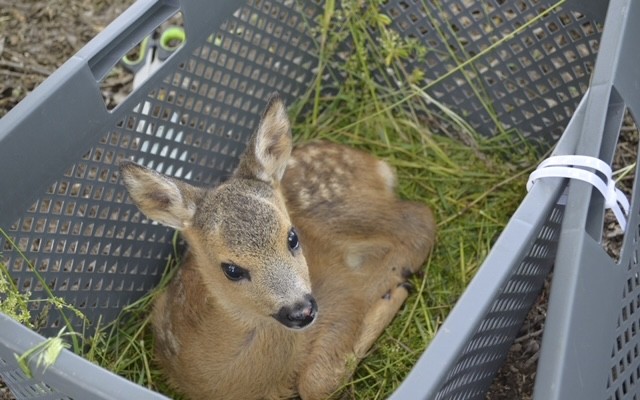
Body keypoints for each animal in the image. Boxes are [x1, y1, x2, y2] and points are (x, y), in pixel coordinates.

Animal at [120, 94, 438, 400]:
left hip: (347, 214)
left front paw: (389, 295)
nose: (301, 311)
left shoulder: (341, 295)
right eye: (231, 269)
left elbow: (315, 383)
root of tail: (376, 164)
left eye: (292, 237)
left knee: (420, 220)